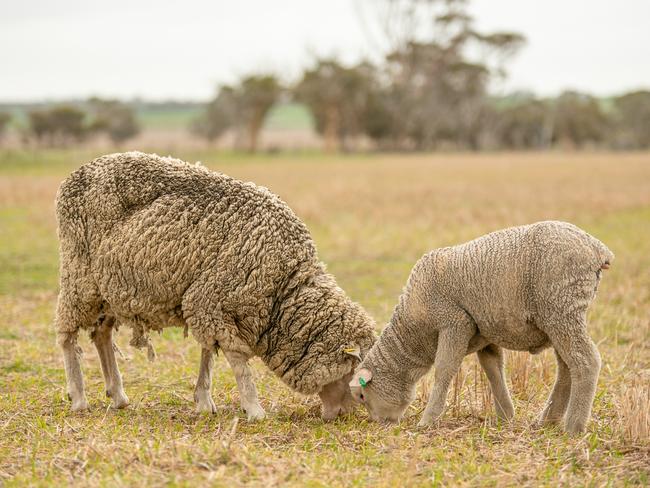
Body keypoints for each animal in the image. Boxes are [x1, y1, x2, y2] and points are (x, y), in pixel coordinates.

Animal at [54, 152, 374, 420]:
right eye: (356, 379)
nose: (344, 416)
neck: (281, 290)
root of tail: (75, 175)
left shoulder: (207, 300)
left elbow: (208, 354)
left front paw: (204, 401)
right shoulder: (209, 300)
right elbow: (237, 360)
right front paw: (254, 409)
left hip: (110, 286)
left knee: (101, 332)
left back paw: (118, 395)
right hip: (79, 274)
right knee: (67, 333)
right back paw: (78, 397)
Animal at [346, 223, 612, 432]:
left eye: (361, 395)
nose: (381, 424)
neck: (413, 332)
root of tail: (598, 249)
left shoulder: (454, 323)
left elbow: (444, 370)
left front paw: (427, 421)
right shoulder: (485, 334)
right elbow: (493, 369)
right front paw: (506, 415)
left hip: (562, 309)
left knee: (586, 361)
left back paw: (573, 426)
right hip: (559, 316)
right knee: (566, 367)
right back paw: (546, 420)